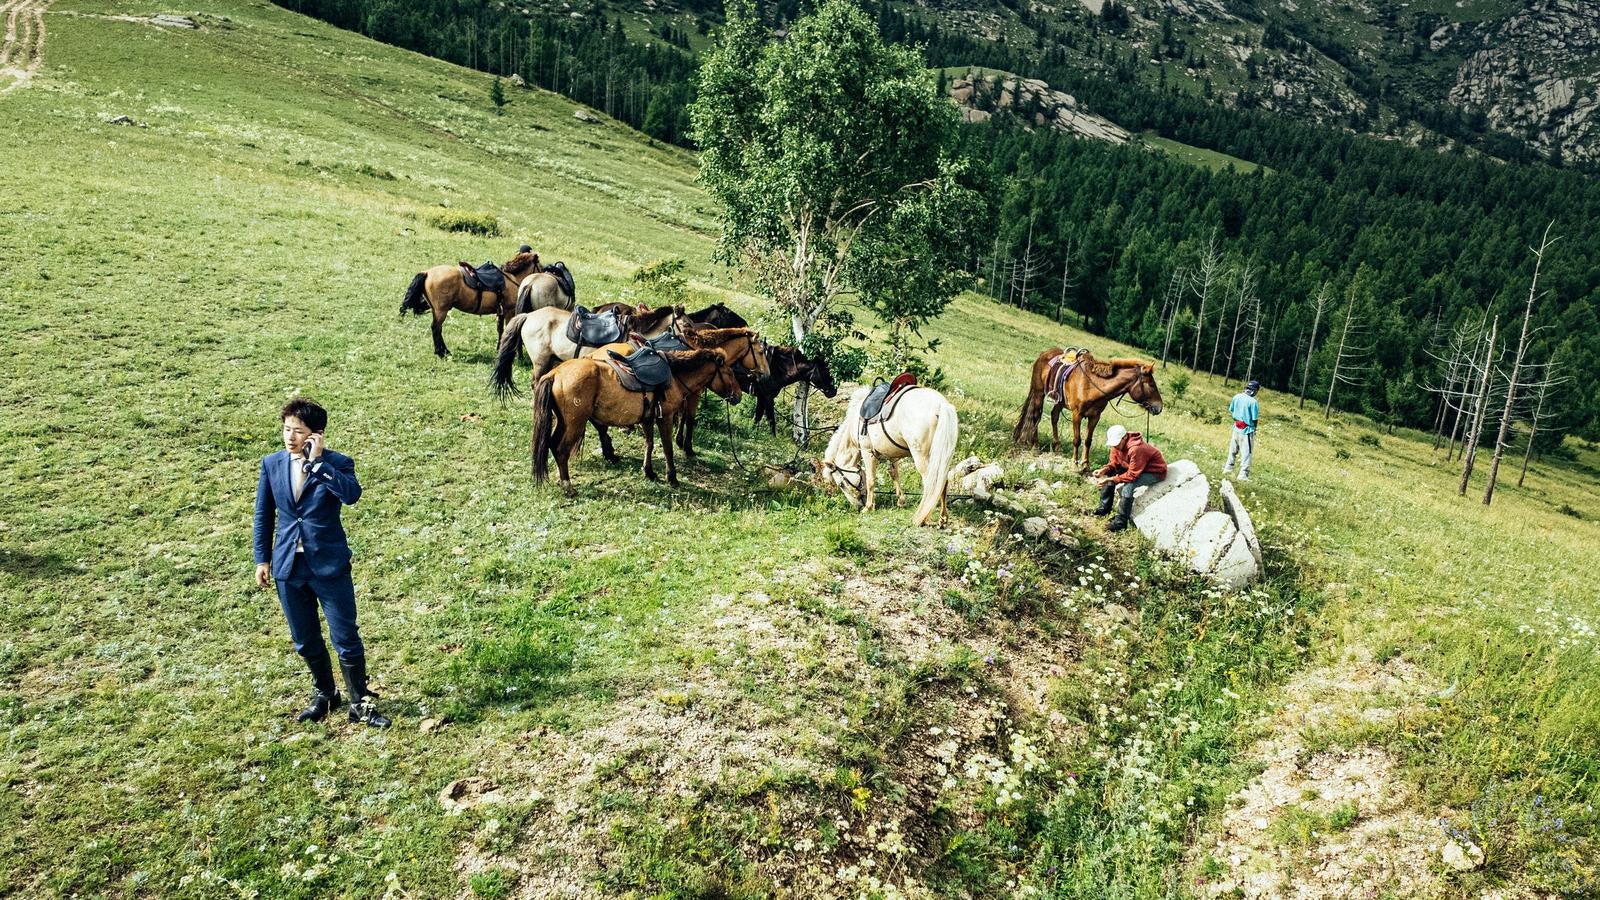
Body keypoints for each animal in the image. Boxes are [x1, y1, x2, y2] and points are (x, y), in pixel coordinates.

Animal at [400, 248, 544, 357]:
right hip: (441, 310)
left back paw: (444, 351)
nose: (544, 274)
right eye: (540, 266)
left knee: (437, 329)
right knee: (436, 328)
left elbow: (500, 330)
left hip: (436, 310)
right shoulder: (509, 311)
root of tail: (427, 272)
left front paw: (499, 349)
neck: (511, 278)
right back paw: (441, 352)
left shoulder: (501, 312)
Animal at [819, 379, 953, 522]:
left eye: (841, 485)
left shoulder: (868, 452)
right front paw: (901, 500)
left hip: (922, 457)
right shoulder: (891, 454)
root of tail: (941, 405)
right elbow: (894, 474)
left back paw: (922, 517)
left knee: (931, 483)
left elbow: (871, 480)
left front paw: (868, 507)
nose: (858, 506)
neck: (855, 424)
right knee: (942, 482)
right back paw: (942, 518)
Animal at [1011, 347, 1164, 464]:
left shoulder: (1095, 417)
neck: (1091, 386)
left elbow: (1087, 440)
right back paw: (1035, 446)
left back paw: (1057, 446)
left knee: (1054, 417)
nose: (1159, 407)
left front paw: (1085, 464)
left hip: (1059, 401)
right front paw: (1075, 463)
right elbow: (1077, 439)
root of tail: (1043, 354)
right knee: (1036, 416)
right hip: (1038, 393)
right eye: (1151, 384)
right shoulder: (1076, 414)